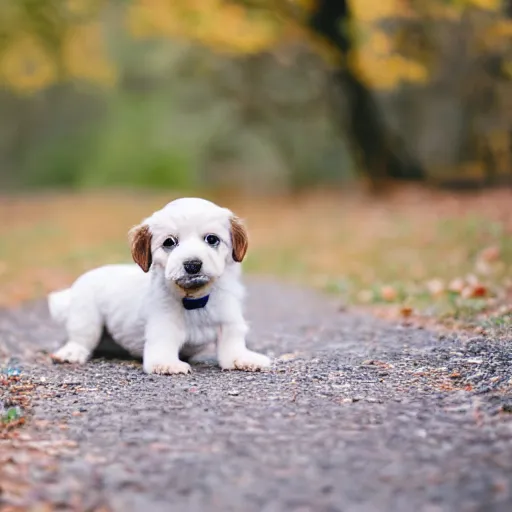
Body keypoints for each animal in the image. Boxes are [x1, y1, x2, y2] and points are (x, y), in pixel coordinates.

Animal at [48, 198, 272, 374]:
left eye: (212, 239)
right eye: (169, 242)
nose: (192, 264)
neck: (195, 299)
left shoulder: (229, 322)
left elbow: (233, 347)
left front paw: (244, 358)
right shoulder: (163, 329)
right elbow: (162, 353)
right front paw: (168, 364)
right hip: (87, 320)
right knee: (81, 339)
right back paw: (71, 352)